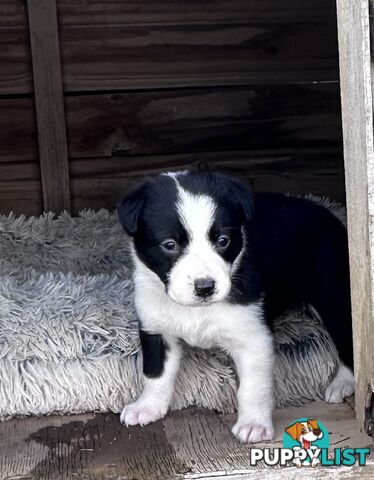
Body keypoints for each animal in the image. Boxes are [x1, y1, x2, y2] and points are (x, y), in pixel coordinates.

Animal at [117, 172, 354, 442]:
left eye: (223, 241)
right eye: (169, 245)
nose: (205, 287)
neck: (197, 309)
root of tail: (326, 212)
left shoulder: (253, 338)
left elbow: (253, 388)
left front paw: (254, 424)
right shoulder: (156, 329)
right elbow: (156, 373)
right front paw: (147, 407)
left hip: (332, 295)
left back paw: (343, 383)